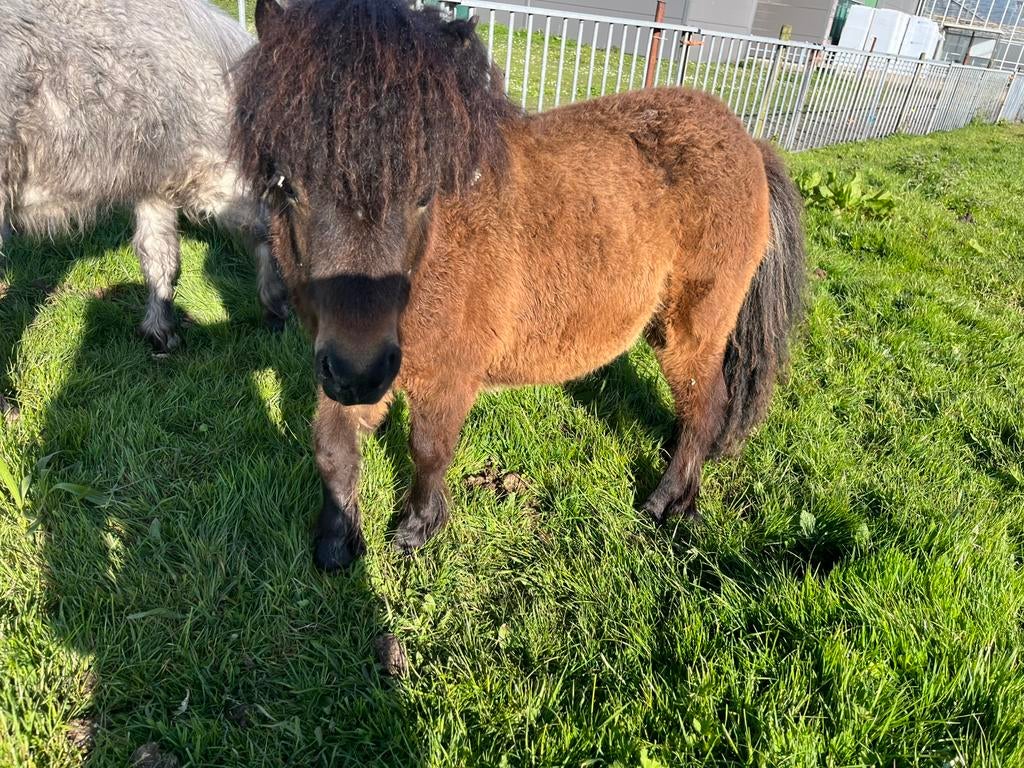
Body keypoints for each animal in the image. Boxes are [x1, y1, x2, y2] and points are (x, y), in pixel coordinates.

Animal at [233, 0, 807, 572]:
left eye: (423, 194)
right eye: (286, 184)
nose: (359, 372)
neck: (437, 250)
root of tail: (749, 141)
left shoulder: (445, 376)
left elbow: (428, 449)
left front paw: (418, 528)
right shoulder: (351, 368)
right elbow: (333, 449)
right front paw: (336, 541)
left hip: (690, 329)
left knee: (705, 407)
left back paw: (670, 501)